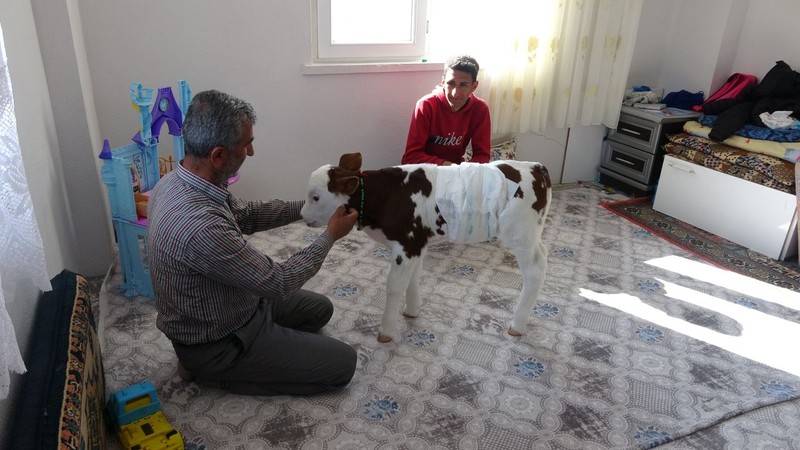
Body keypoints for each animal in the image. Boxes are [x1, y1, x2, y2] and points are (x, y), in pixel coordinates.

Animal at [300, 153, 552, 342]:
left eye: (315, 197)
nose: (302, 215)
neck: (383, 197)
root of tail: (535, 166)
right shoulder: (416, 244)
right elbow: (412, 278)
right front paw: (412, 311)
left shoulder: (406, 244)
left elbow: (394, 286)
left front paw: (386, 331)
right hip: (532, 235)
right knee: (543, 258)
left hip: (520, 234)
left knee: (534, 273)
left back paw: (517, 325)